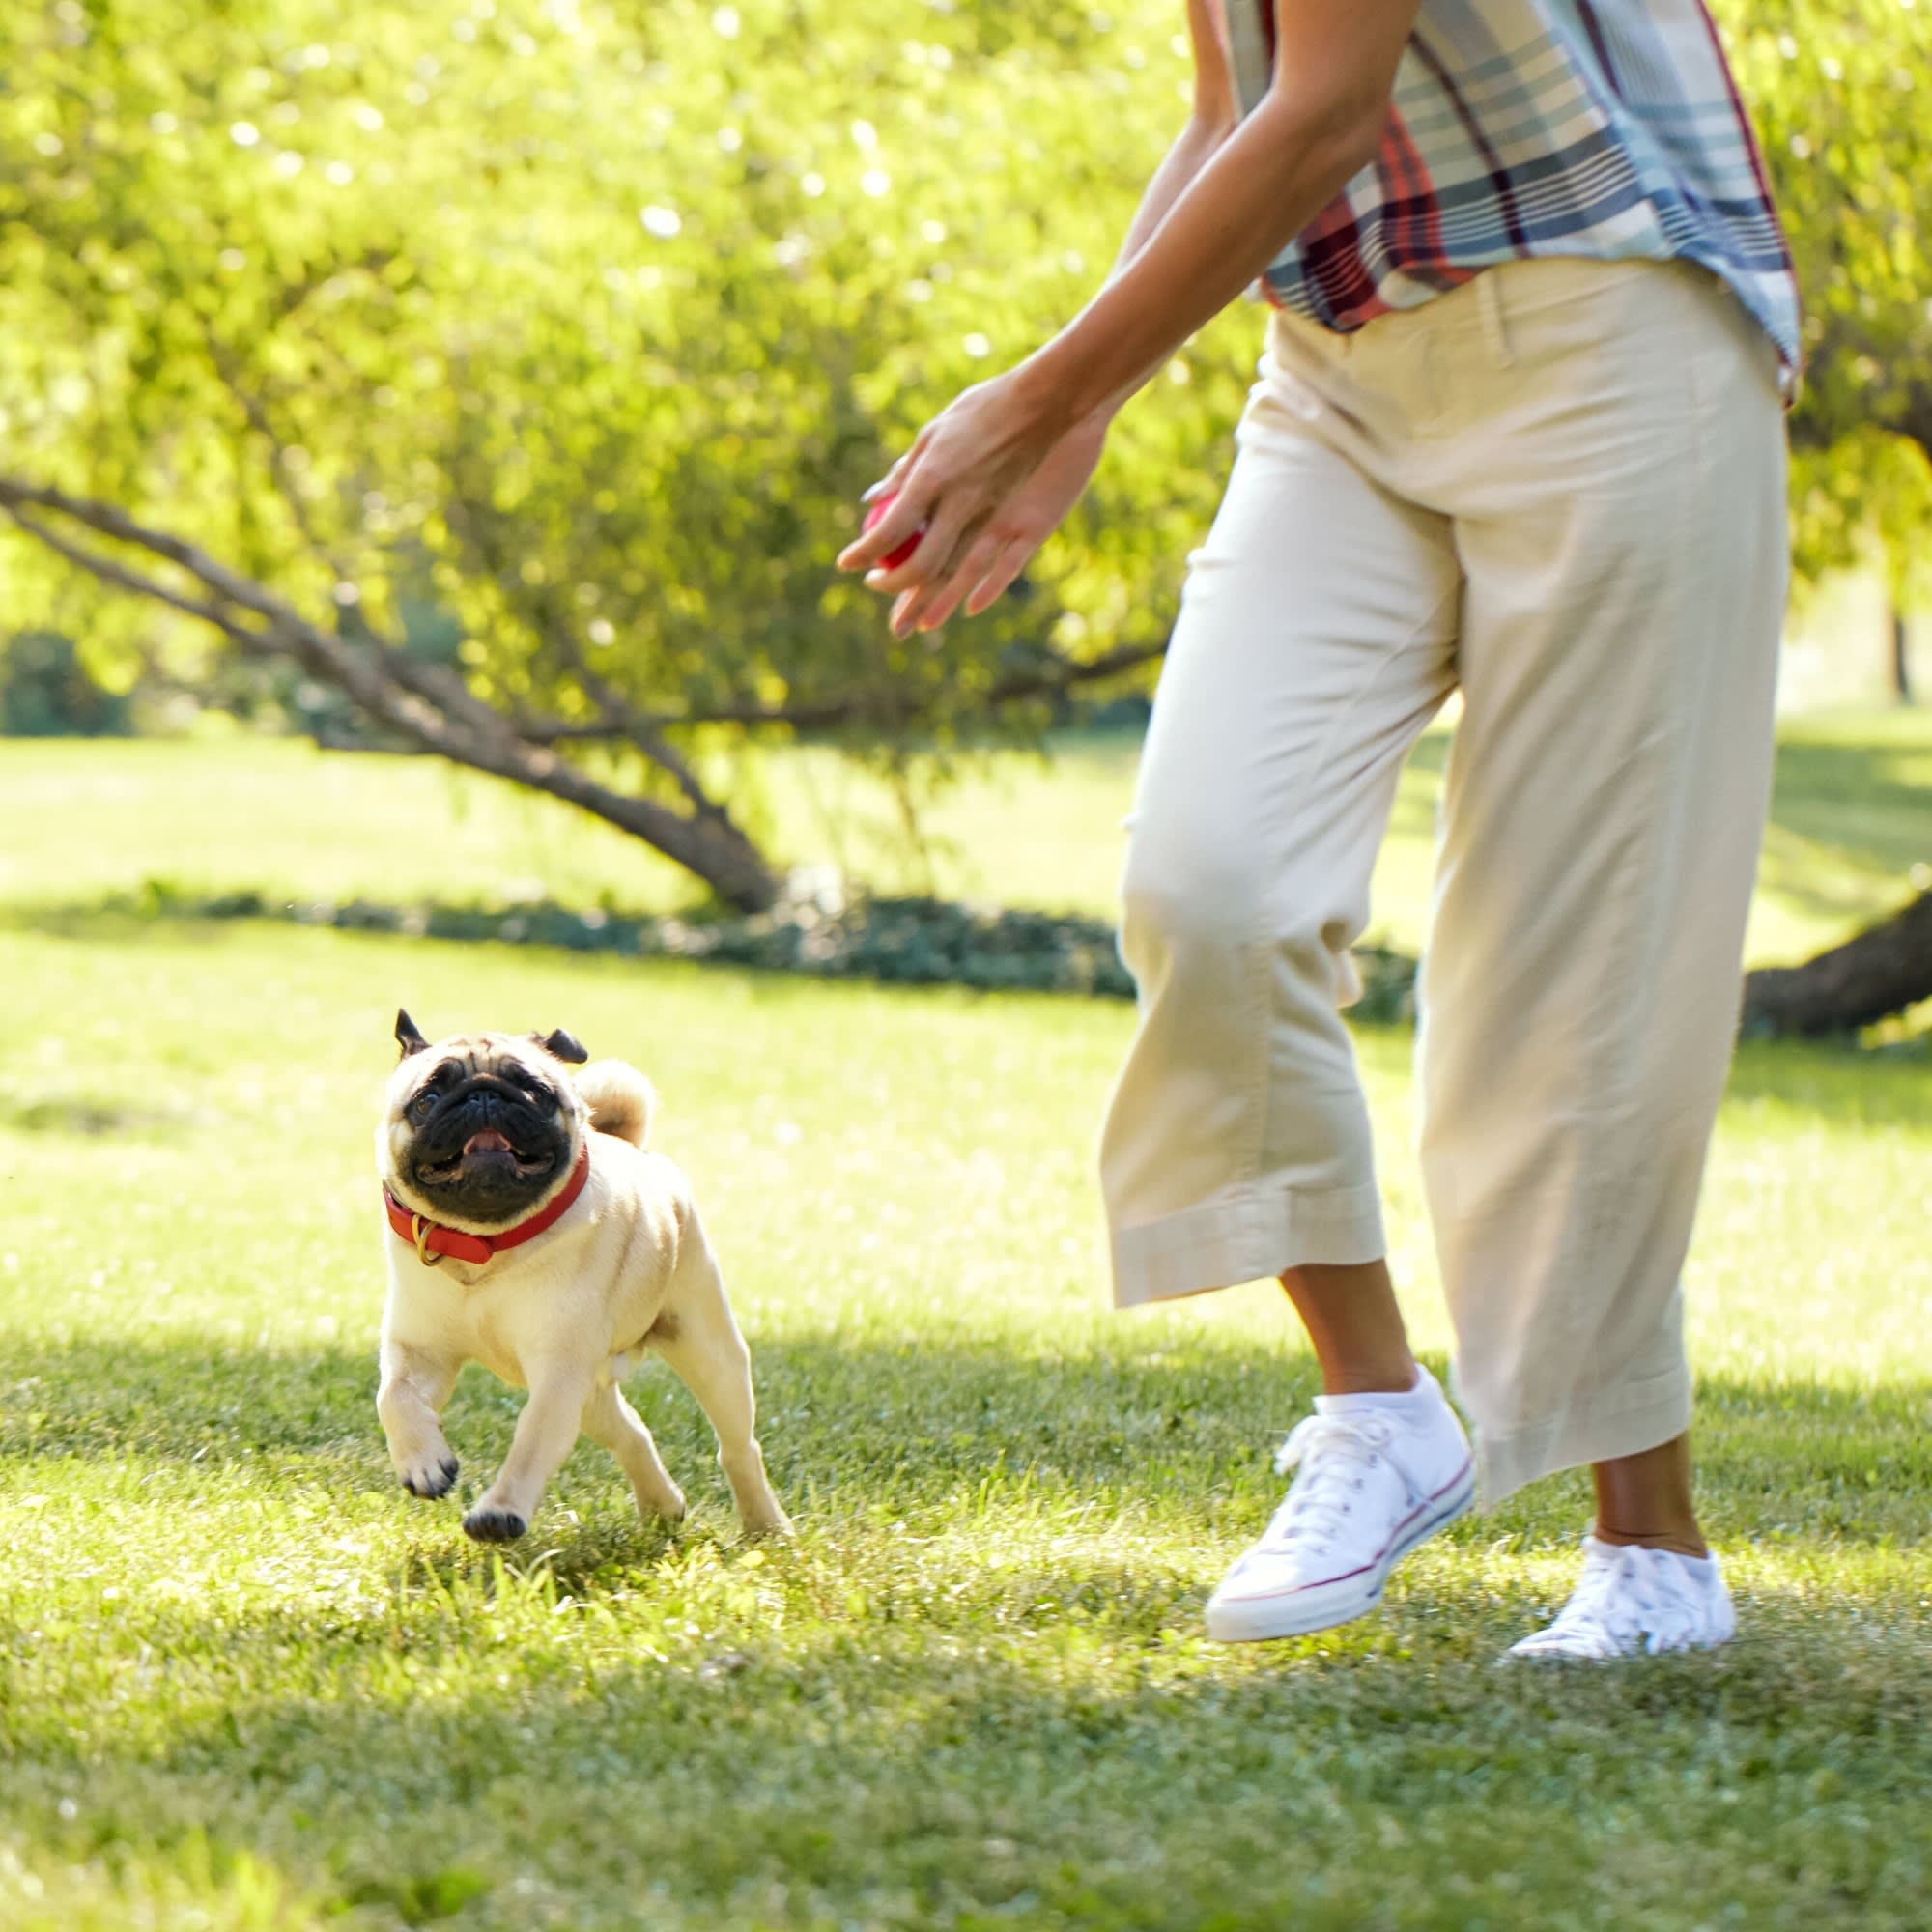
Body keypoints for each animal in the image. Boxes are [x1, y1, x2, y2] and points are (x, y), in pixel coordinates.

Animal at [373, 1012, 788, 1538]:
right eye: (427, 1100)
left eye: (534, 1092)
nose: (483, 1096)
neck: (486, 1246)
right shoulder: (418, 1352)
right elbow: (394, 1398)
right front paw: (424, 1464)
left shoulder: (558, 1376)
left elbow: (531, 1441)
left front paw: (499, 1511)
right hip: (595, 1391)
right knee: (631, 1434)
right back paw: (661, 1504)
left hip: (709, 1352)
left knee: (738, 1447)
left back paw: (766, 1524)